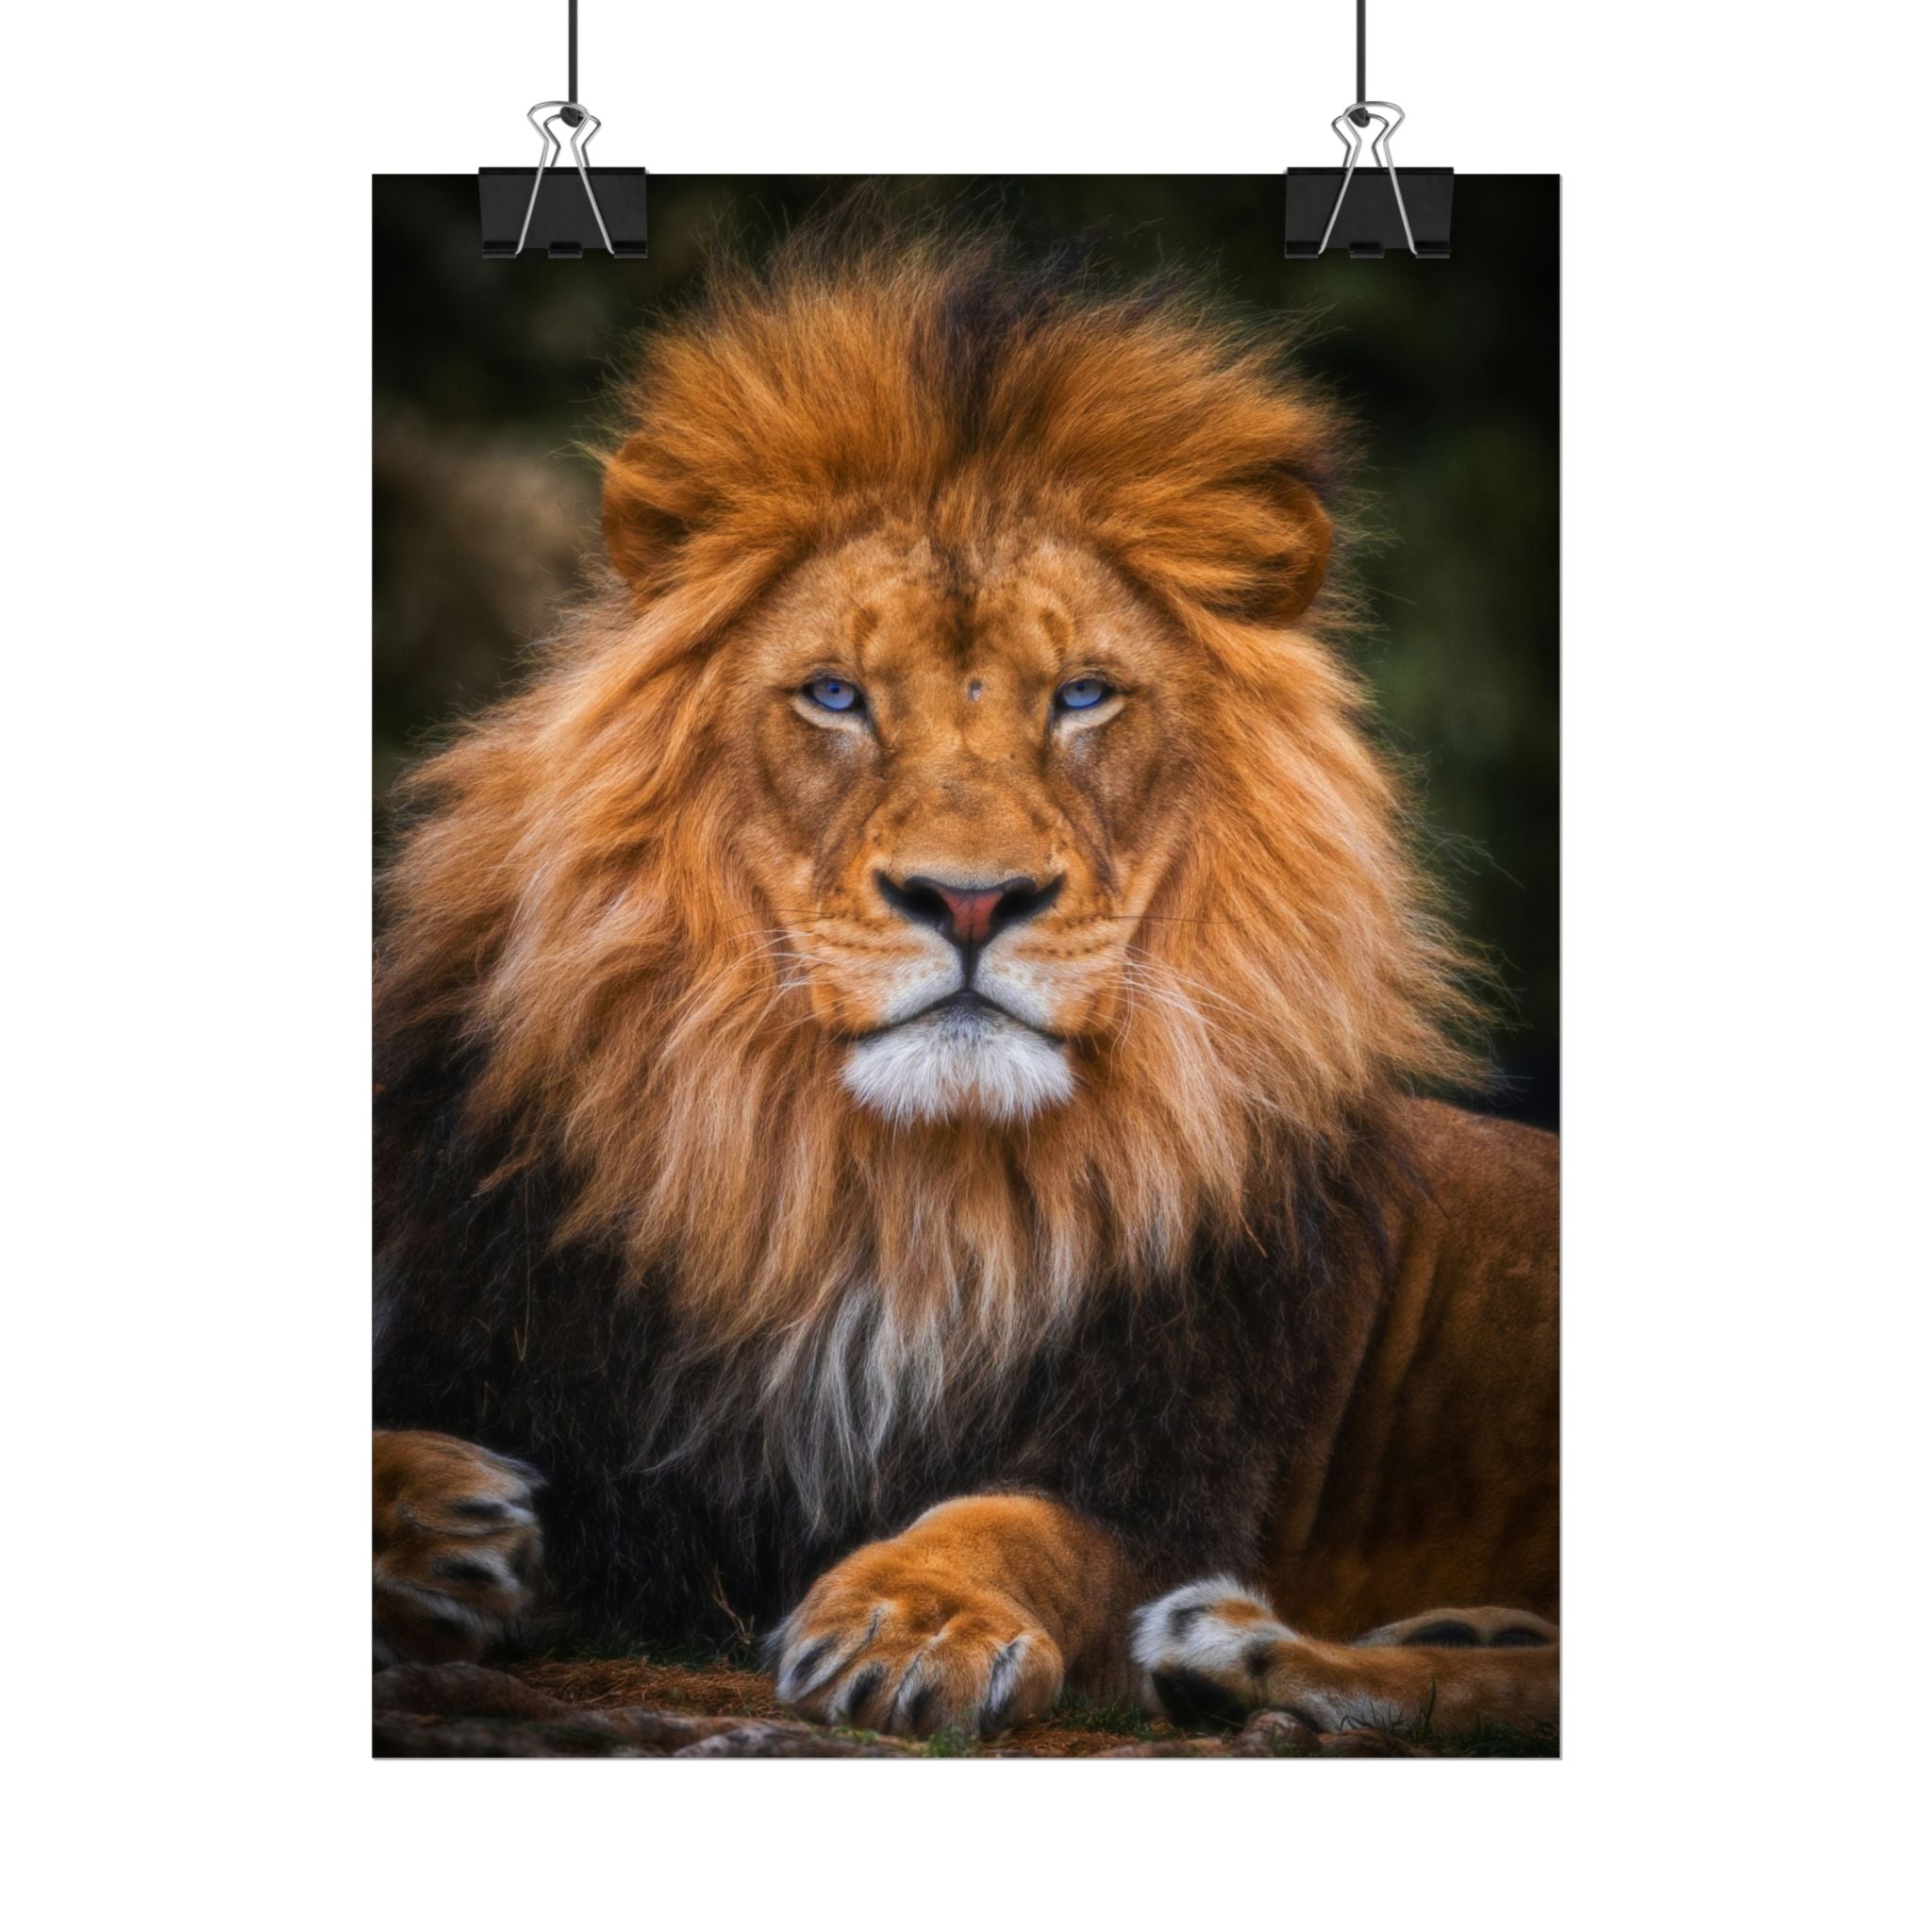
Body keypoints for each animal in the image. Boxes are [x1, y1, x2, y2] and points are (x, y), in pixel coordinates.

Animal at [372, 227, 1558, 1743]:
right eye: (833, 695)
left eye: (1083, 696)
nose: (972, 899)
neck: (887, 1198)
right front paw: (439, 1521)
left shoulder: (1166, 1468)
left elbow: (1019, 1523)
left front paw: (912, 1617)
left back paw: (1242, 1650)